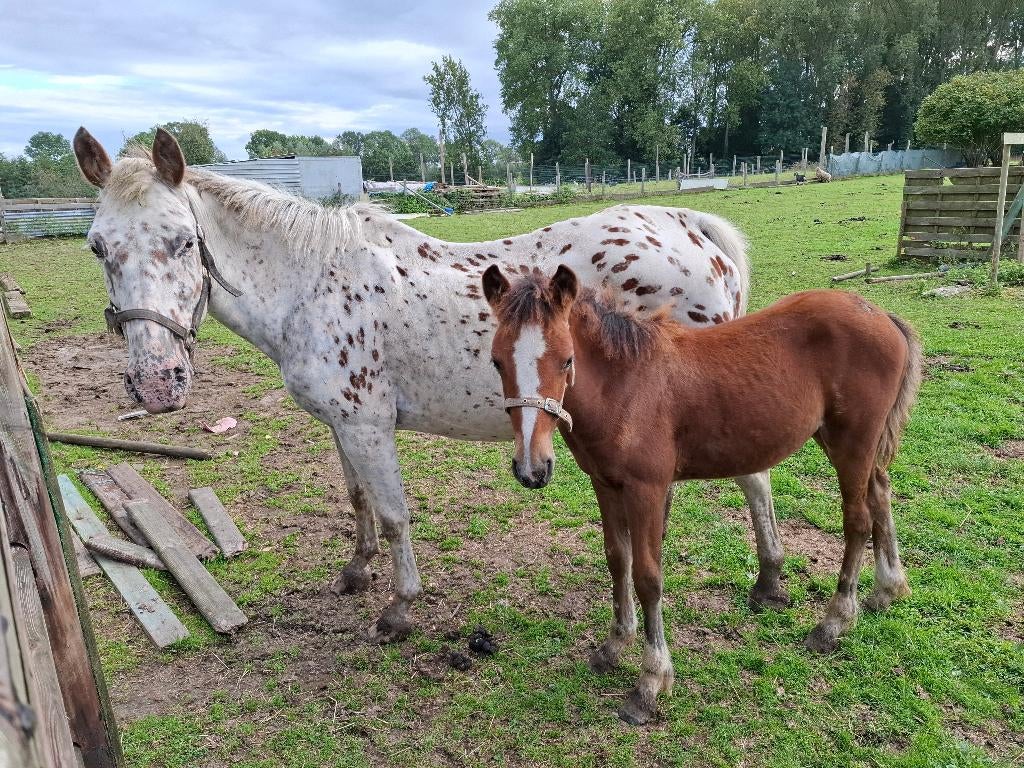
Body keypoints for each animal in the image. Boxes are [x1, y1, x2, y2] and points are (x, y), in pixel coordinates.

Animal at [72, 126, 788, 642]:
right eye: (97, 247)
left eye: (183, 241)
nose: (156, 383)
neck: (313, 283)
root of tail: (691, 227)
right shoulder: (343, 424)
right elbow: (358, 500)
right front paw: (355, 572)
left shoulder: (368, 425)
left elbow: (393, 514)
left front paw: (399, 610)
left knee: (754, 479)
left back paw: (770, 582)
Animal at [482, 265, 921, 725]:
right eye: (497, 361)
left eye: (567, 359)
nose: (532, 469)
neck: (625, 386)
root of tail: (881, 315)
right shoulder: (605, 484)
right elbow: (618, 560)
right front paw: (614, 646)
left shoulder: (647, 489)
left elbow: (647, 577)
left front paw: (650, 683)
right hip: (848, 443)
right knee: (880, 493)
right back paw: (887, 590)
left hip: (853, 442)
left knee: (857, 520)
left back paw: (833, 623)